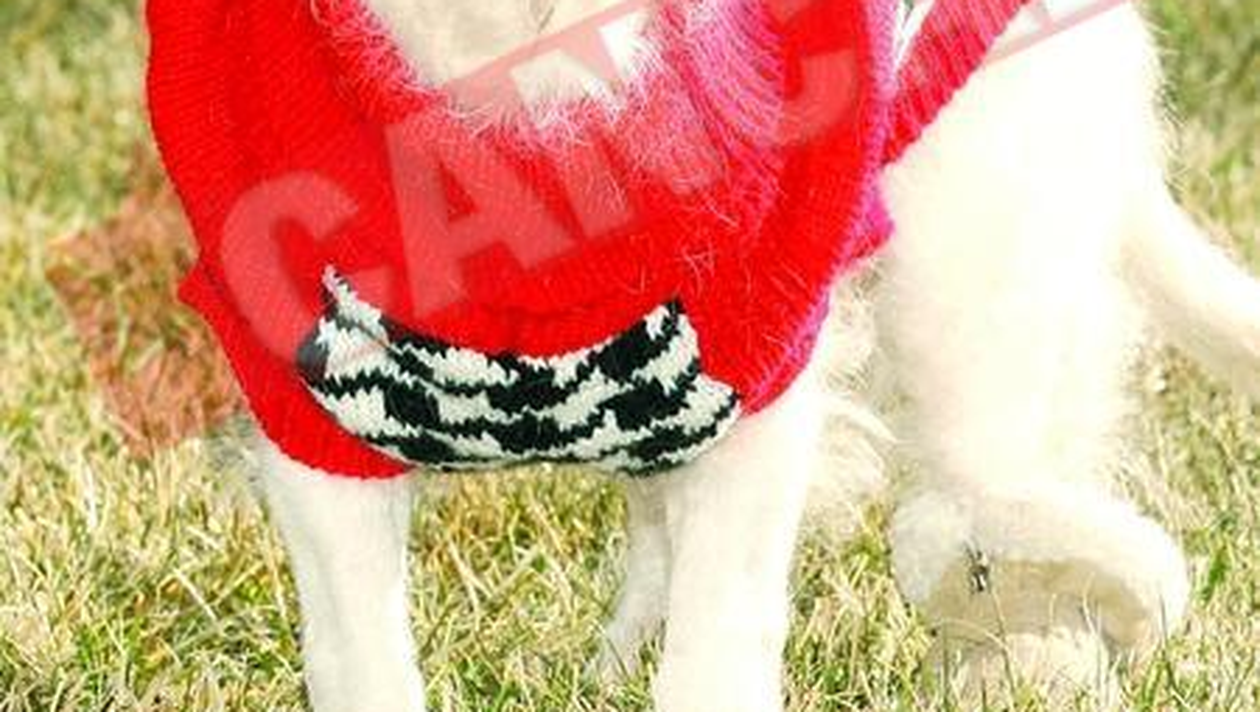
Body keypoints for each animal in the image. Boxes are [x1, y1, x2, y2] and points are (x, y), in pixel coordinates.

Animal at [147, 1, 1260, 710]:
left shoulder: (758, 365)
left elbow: (716, 656)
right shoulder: (313, 402)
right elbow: (361, 660)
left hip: (973, 261)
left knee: (998, 496)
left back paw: (1023, 663)